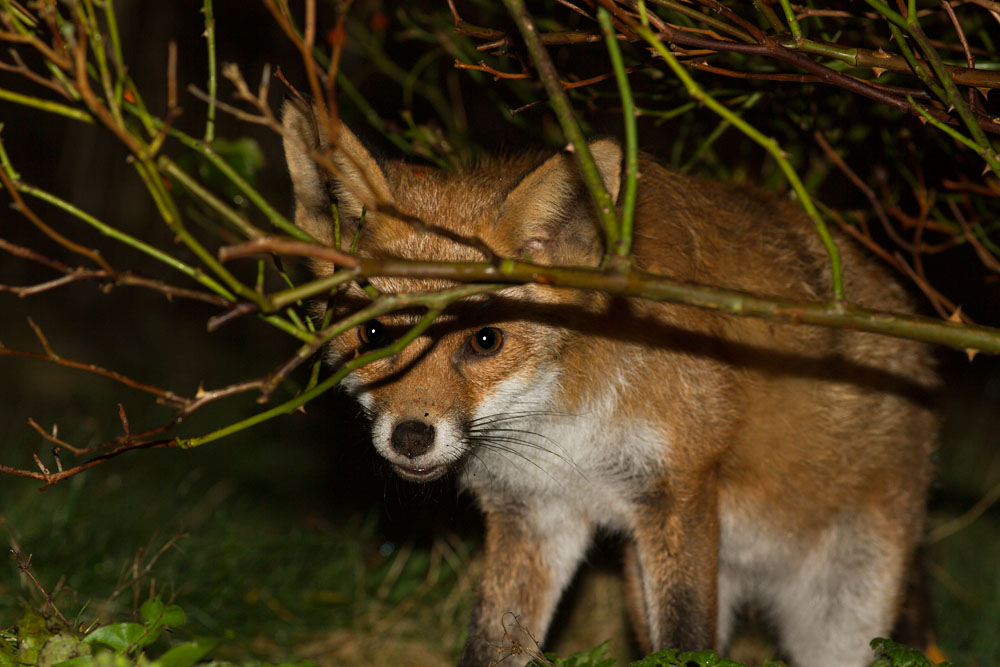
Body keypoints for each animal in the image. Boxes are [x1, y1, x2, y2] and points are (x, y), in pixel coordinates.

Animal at [281, 100, 938, 667]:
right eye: (373, 334)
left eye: (486, 340)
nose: (411, 437)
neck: (563, 427)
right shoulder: (536, 512)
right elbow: (490, 645)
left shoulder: (678, 491)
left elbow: (686, 644)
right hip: (641, 582)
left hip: (842, 614)